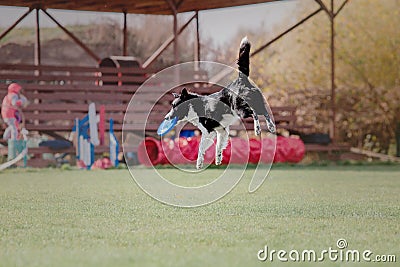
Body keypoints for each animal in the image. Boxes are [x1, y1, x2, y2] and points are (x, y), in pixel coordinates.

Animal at [165, 37, 276, 170]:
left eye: (174, 107)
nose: (166, 117)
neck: (195, 106)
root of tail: (241, 80)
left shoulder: (208, 131)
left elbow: (201, 147)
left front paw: (199, 163)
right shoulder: (221, 130)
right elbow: (218, 145)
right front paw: (218, 159)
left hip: (240, 109)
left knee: (254, 112)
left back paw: (257, 129)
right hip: (256, 102)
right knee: (265, 112)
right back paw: (271, 127)